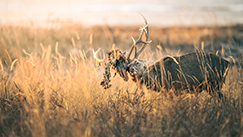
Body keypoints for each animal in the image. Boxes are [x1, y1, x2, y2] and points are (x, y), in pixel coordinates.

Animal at [92, 13, 229, 98]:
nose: (133, 71)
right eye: (118, 68)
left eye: (136, 62)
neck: (156, 78)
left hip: (215, 84)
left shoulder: (174, 88)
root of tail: (227, 63)